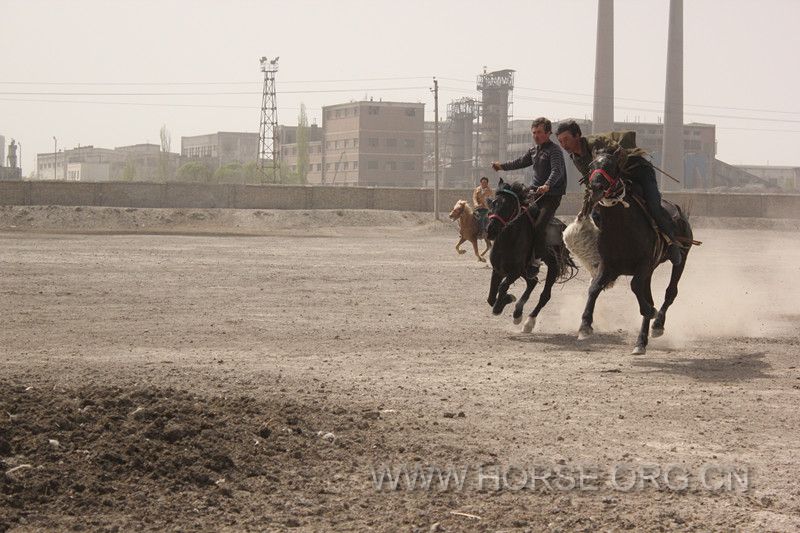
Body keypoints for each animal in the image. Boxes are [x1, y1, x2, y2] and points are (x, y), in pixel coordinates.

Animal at [488, 179, 576, 332]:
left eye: (509, 206)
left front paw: (504, 303)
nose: (491, 230)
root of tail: (563, 227)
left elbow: (503, 287)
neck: (508, 240)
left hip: (553, 266)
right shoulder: (498, 270)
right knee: (533, 281)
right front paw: (506, 300)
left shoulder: (515, 272)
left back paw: (529, 322)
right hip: (527, 270)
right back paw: (518, 313)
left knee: (545, 295)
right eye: (494, 203)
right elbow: (491, 297)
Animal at [580, 149, 696, 354]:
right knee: (650, 296)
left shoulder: (643, 265)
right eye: (591, 166)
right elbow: (594, 287)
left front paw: (651, 313)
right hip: (650, 272)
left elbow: (636, 288)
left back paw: (657, 324)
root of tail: (681, 213)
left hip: (682, 259)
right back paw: (641, 341)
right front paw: (585, 325)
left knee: (670, 292)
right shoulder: (609, 266)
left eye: (612, 166)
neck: (622, 227)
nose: (595, 186)